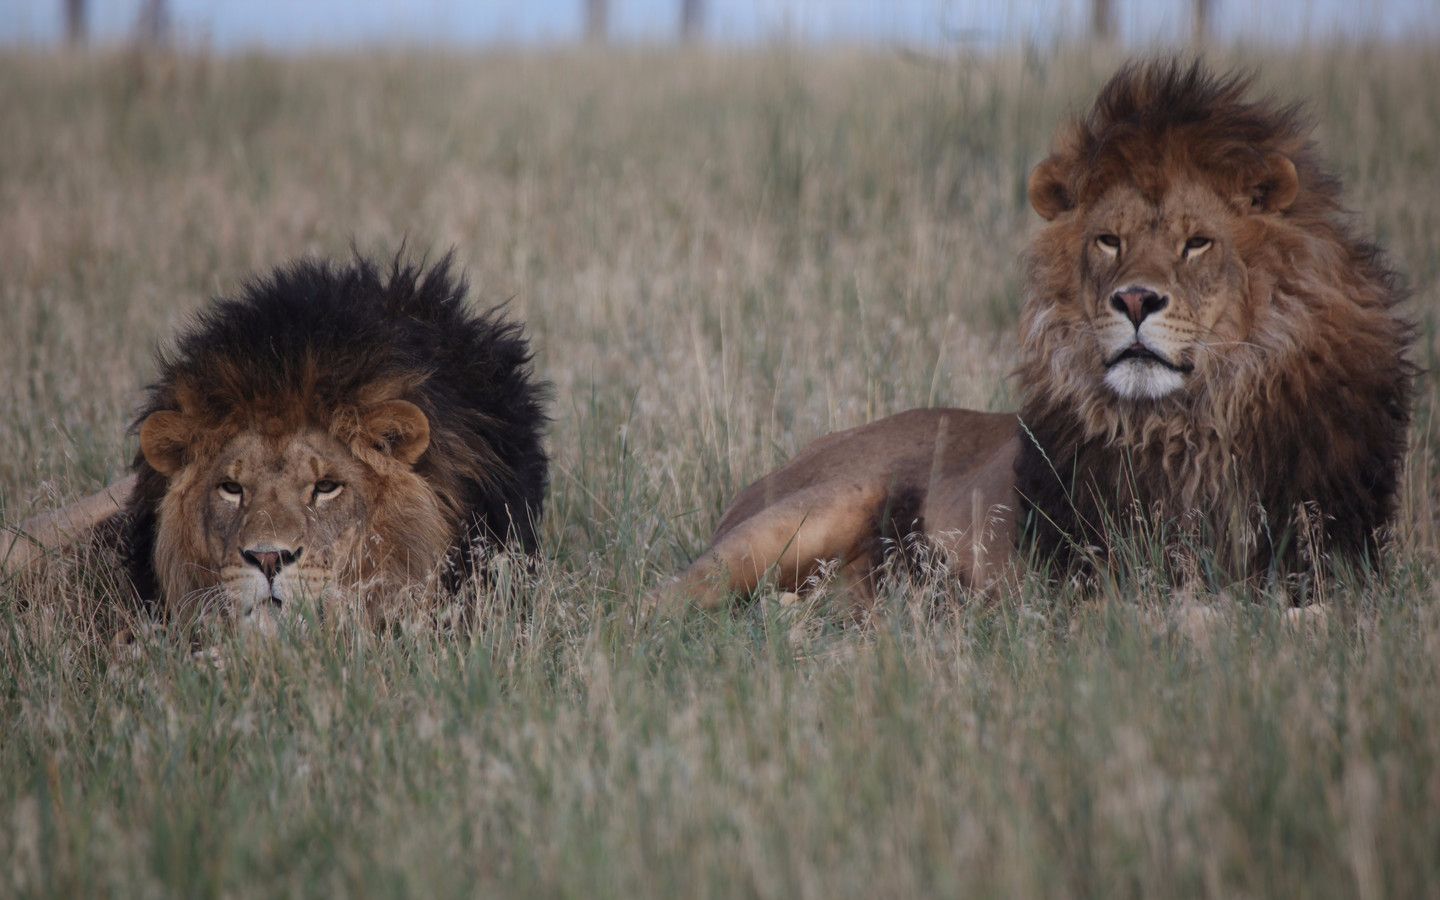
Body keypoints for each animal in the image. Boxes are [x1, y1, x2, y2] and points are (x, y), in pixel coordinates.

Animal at [659, 57, 1411, 610]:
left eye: (1198, 242)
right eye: (1109, 240)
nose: (1134, 298)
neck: (1185, 425)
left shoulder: (1332, 562)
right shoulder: (1090, 582)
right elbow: (1191, 613)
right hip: (797, 518)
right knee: (658, 599)